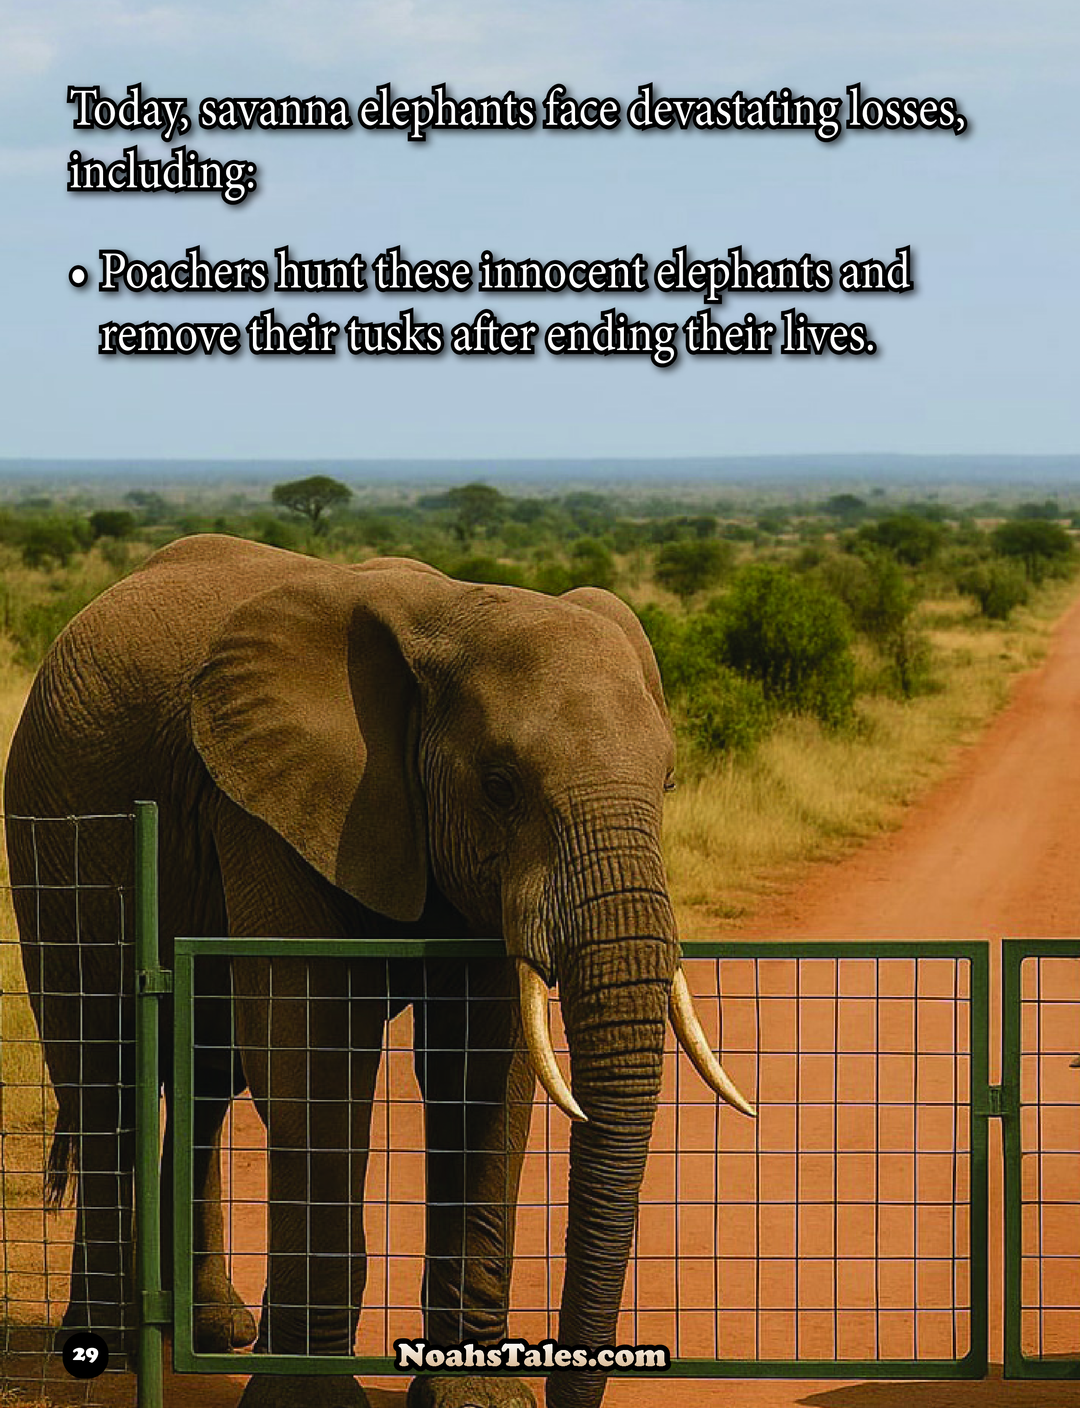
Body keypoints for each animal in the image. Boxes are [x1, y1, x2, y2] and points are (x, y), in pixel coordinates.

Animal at [3, 533, 753, 1408]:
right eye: (500, 787)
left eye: (667, 783)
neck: (451, 615)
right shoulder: (267, 806)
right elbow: (316, 1044)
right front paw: (310, 1402)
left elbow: (479, 1066)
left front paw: (478, 1398)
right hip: (51, 833)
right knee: (103, 1070)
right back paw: (109, 1349)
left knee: (205, 1082)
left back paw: (214, 1332)